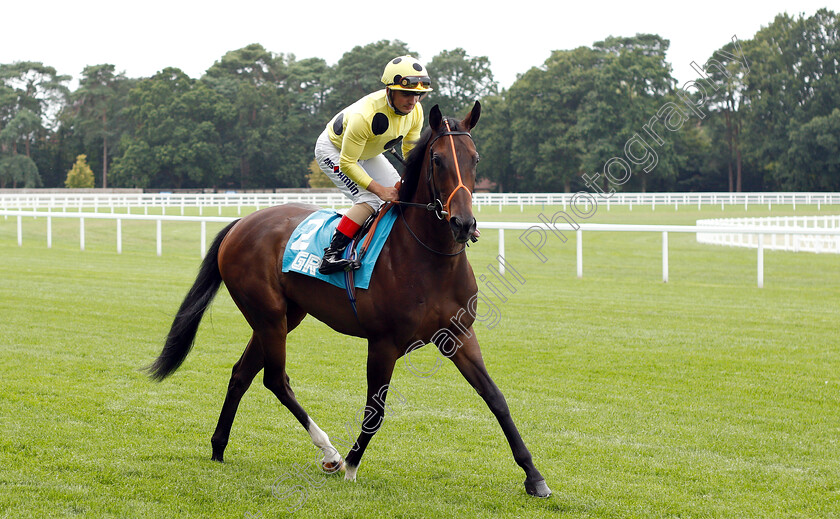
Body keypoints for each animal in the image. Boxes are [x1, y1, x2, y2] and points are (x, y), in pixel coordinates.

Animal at [146, 102, 552, 500]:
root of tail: (242, 223)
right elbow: (375, 411)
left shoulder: (459, 336)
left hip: (283, 316)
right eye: (437, 160)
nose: (463, 224)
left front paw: (534, 477)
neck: (430, 258)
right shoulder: (384, 343)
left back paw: (219, 446)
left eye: (475, 158)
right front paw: (353, 465)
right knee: (276, 379)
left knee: (241, 373)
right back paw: (330, 453)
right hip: (268, 315)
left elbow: (496, 399)